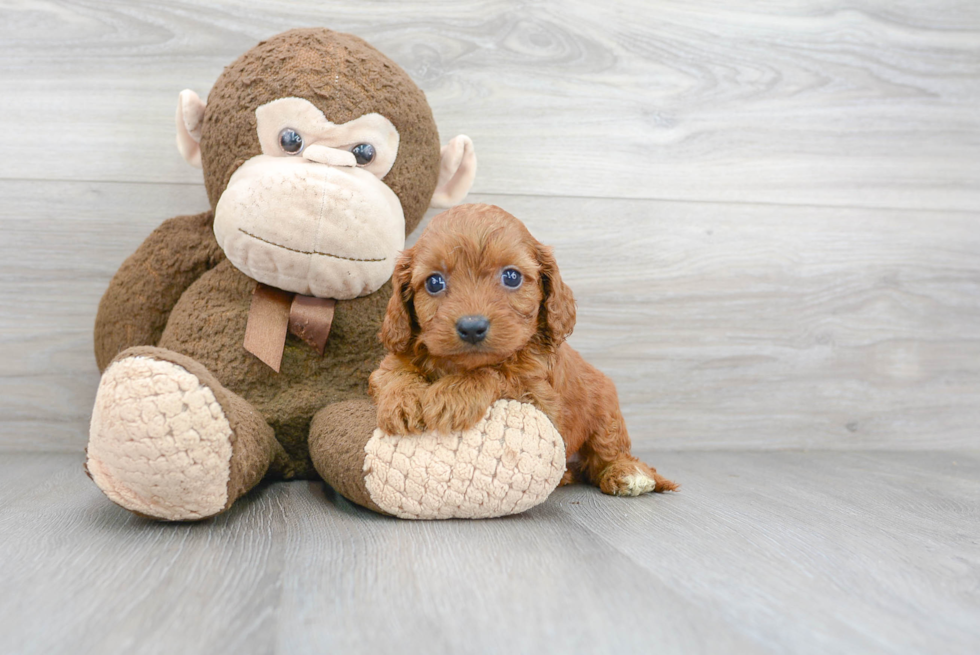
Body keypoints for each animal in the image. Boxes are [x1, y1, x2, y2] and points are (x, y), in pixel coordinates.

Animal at [368, 205, 672, 498]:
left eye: (511, 277)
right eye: (434, 282)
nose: (472, 327)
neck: (460, 365)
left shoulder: (541, 401)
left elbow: (497, 373)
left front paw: (452, 395)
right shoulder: (396, 357)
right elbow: (394, 372)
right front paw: (401, 402)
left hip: (605, 412)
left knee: (607, 452)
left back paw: (628, 473)